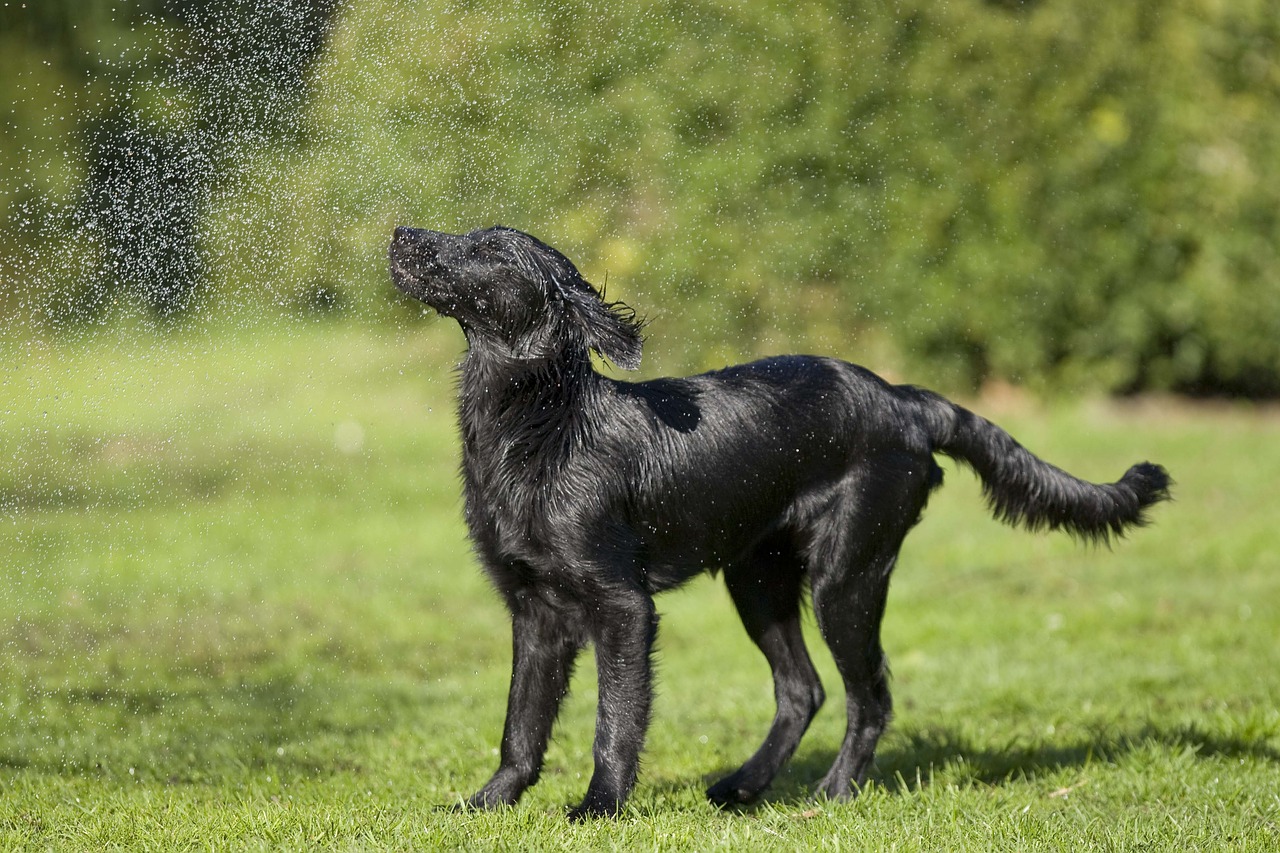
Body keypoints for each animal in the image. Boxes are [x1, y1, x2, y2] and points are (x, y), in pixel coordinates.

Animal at [386, 224, 1172, 819]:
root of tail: (905, 399)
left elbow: (615, 722)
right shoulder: (535, 607)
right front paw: (487, 804)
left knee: (869, 695)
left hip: (845, 577)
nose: (402, 232)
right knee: (805, 689)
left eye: (490, 248)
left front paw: (599, 808)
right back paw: (743, 786)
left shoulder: (622, 607)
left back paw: (833, 793)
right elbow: (520, 726)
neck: (541, 426)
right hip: (758, 579)